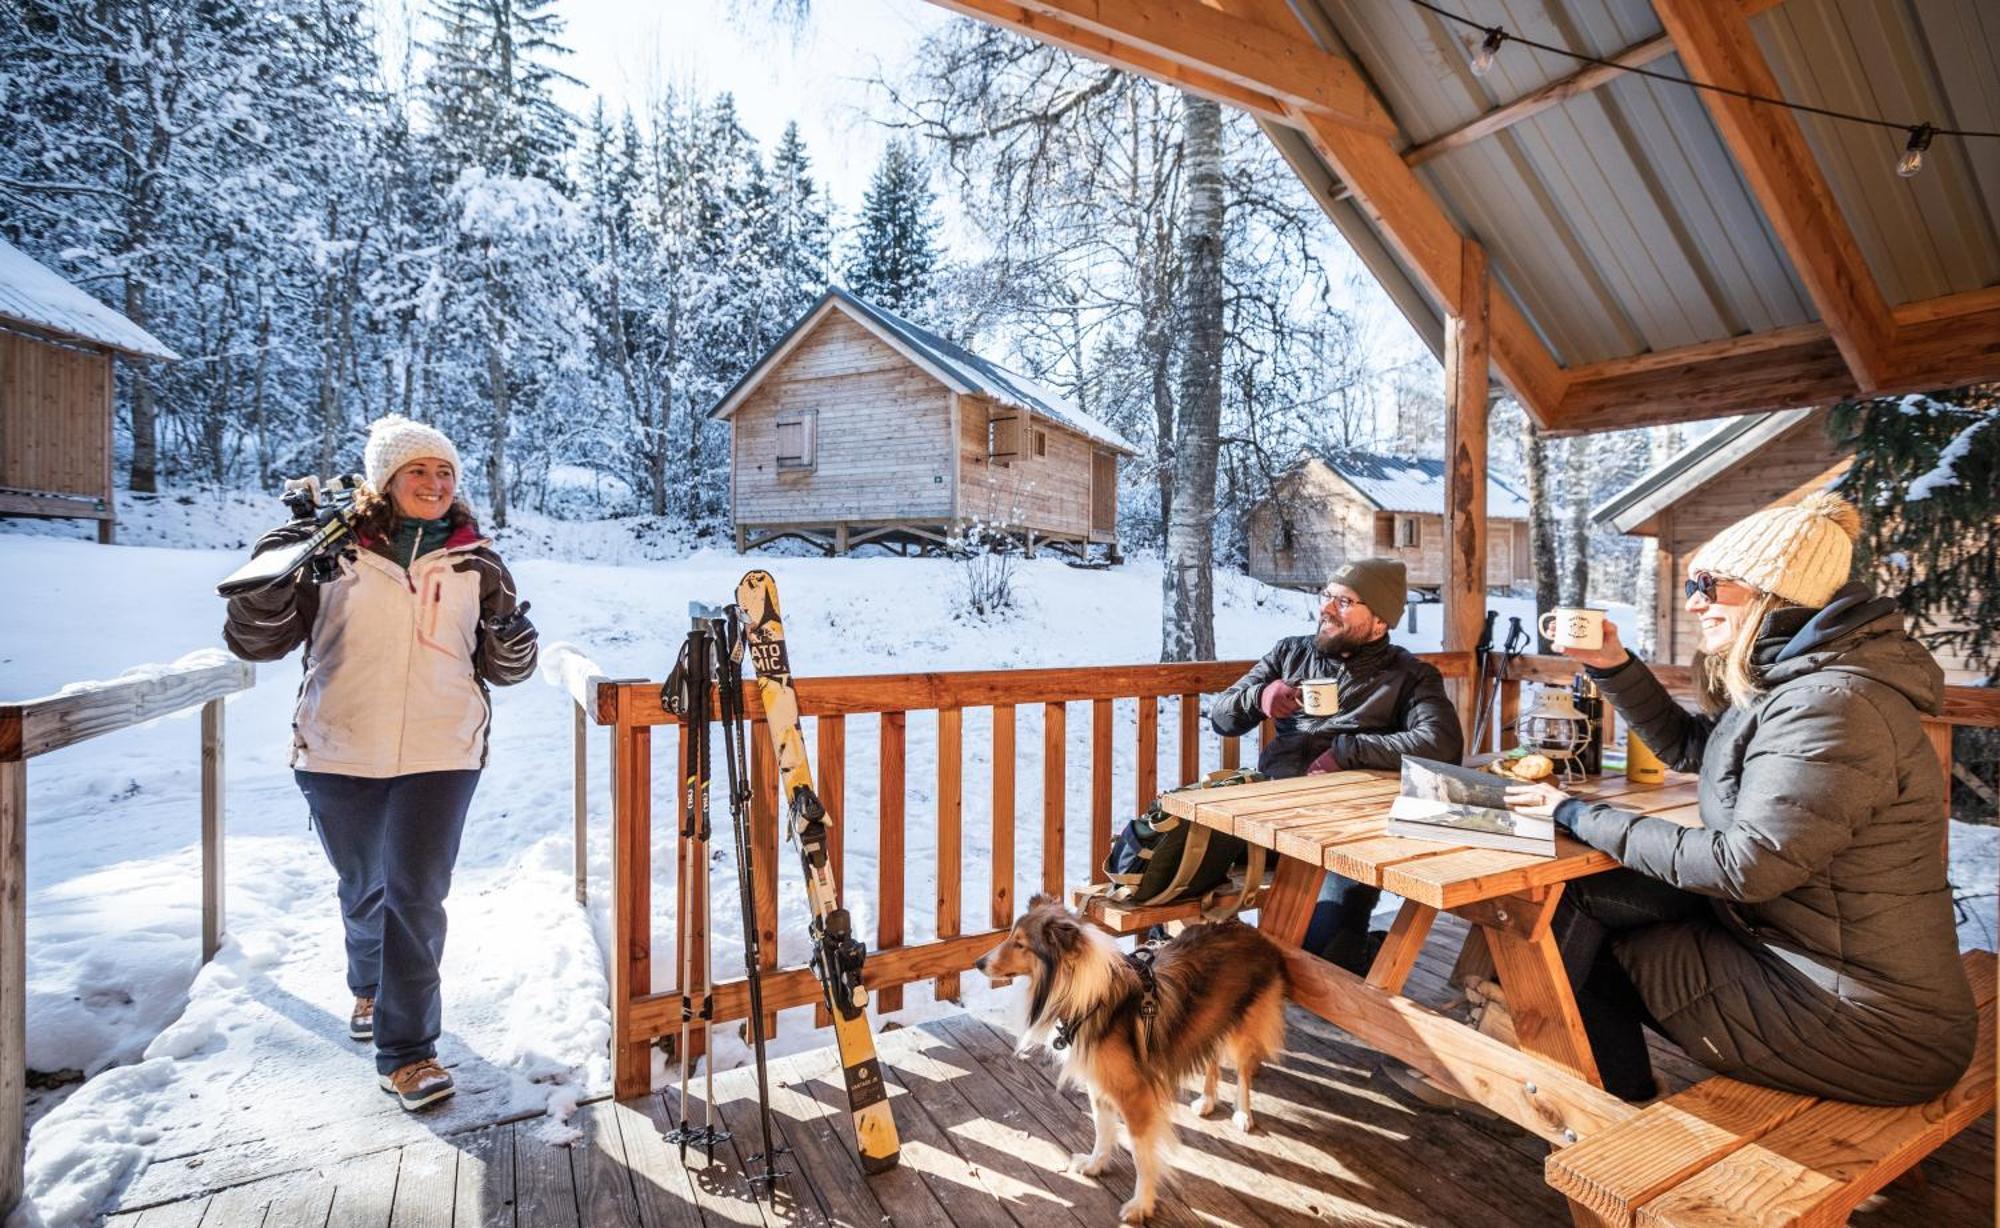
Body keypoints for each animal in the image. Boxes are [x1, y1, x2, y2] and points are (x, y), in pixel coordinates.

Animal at [972, 900, 1288, 1224]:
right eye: (1011, 936)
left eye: (1021, 943)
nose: (978, 963)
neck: (1082, 992)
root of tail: (1248, 929)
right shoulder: (1099, 1085)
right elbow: (1103, 1129)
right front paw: (1095, 1165)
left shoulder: (1135, 1096)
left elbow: (1141, 1154)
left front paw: (1141, 1205)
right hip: (1210, 1020)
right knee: (1212, 1058)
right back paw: (1207, 1101)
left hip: (1241, 1028)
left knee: (1244, 1071)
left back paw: (1243, 1114)